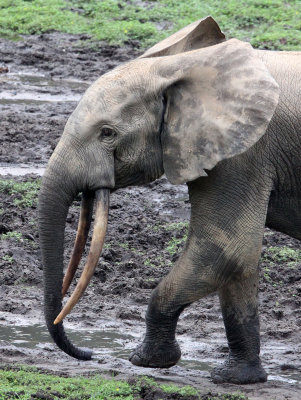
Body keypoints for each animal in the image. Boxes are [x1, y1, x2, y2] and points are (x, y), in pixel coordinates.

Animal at [38, 16, 300, 384]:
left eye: (107, 133)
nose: (88, 353)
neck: (181, 67)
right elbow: (239, 261)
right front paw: (239, 378)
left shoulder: (243, 154)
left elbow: (224, 250)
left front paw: (146, 361)